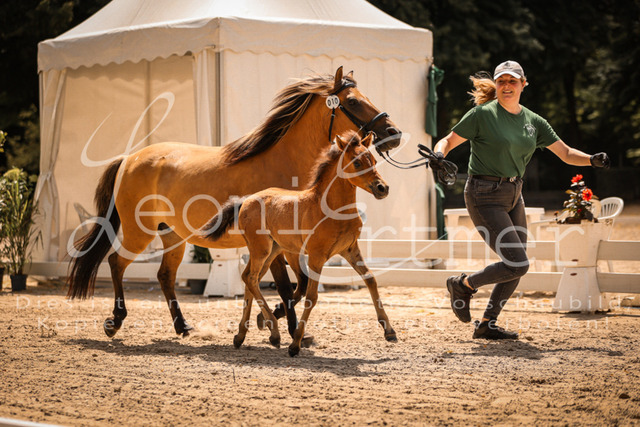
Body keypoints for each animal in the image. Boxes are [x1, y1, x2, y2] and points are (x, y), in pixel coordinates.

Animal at [202, 131, 397, 356]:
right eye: (356, 162)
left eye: (373, 159)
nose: (382, 188)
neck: (332, 208)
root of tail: (246, 200)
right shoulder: (316, 257)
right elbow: (311, 295)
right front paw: (295, 343)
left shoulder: (350, 250)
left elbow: (371, 280)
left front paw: (390, 331)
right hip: (261, 250)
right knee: (250, 278)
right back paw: (273, 331)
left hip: (272, 252)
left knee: (249, 278)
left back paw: (243, 334)